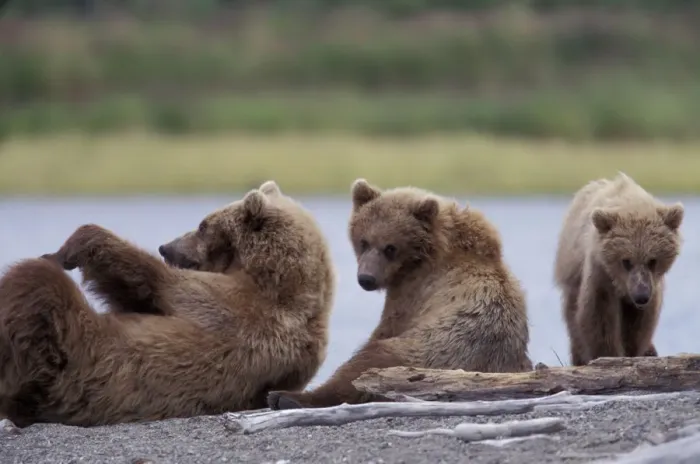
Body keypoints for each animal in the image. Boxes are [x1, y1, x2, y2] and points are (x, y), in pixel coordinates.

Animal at [0, 180, 336, 427]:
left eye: (202, 225)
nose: (166, 247)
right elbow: (132, 294)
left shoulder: (231, 308)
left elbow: (154, 279)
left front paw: (64, 251)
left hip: (71, 363)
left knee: (35, 284)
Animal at [267, 179, 533, 410]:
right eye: (364, 241)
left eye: (390, 247)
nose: (366, 278)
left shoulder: (413, 291)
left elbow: (384, 329)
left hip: (424, 353)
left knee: (365, 362)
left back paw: (287, 397)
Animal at [554, 172, 684, 366]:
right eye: (626, 261)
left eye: (652, 260)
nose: (641, 296)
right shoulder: (601, 273)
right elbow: (599, 317)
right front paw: (607, 355)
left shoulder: (649, 288)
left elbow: (637, 326)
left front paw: (630, 352)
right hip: (572, 271)